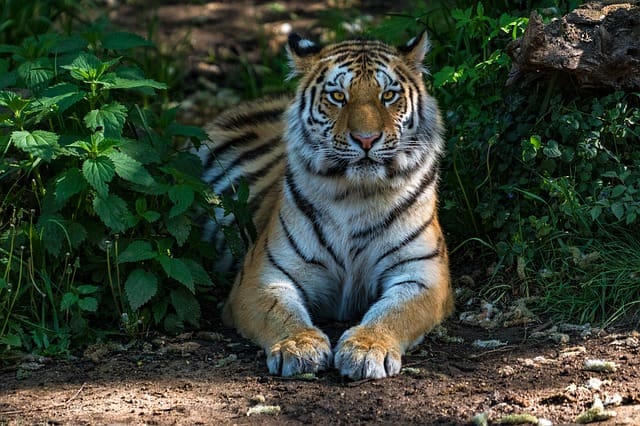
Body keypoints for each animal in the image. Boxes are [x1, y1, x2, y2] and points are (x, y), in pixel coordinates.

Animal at [196, 32, 456, 380]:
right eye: (337, 96)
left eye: (388, 95)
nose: (366, 139)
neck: (356, 195)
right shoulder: (262, 274)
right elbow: (279, 311)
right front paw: (298, 345)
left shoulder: (422, 273)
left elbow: (395, 312)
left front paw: (367, 348)